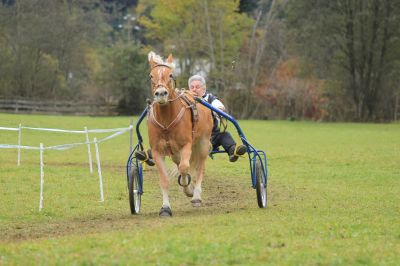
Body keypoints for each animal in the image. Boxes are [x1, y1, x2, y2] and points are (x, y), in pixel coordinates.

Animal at [147, 51, 214, 216]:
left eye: (170, 74)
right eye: (151, 76)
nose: (161, 93)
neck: (166, 121)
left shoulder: (187, 146)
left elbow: (184, 168)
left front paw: (189, 190)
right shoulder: (157, 151)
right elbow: (164, 180)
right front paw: (165, 207)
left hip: (202, 143)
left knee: (199, 167)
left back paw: (196, 195)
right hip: (175, 151)